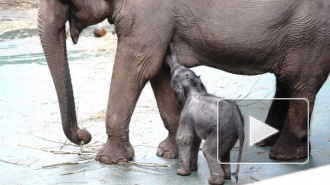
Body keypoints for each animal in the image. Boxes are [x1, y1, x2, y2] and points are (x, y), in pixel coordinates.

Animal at [38, 0, 330, 163]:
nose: (84, 135)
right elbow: (159, 71)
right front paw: (171, 152)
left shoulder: (148, 14)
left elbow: (137, 64)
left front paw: (109, 160)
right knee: (289, 81)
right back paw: (267, 141)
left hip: (311, 33)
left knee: (301, 83)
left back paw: (284, 155)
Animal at [166, 43, 244, 185]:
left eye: (173, 74)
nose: (170, 46)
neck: (194, 88)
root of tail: (238, 118)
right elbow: (195, 139)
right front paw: (192, 169)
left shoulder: (186, 115)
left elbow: (184, 139)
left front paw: (181, 173)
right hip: (230, 134)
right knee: (225, 153)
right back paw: (226, 177)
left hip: (222, 131)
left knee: (208, 150)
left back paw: (214, 181)